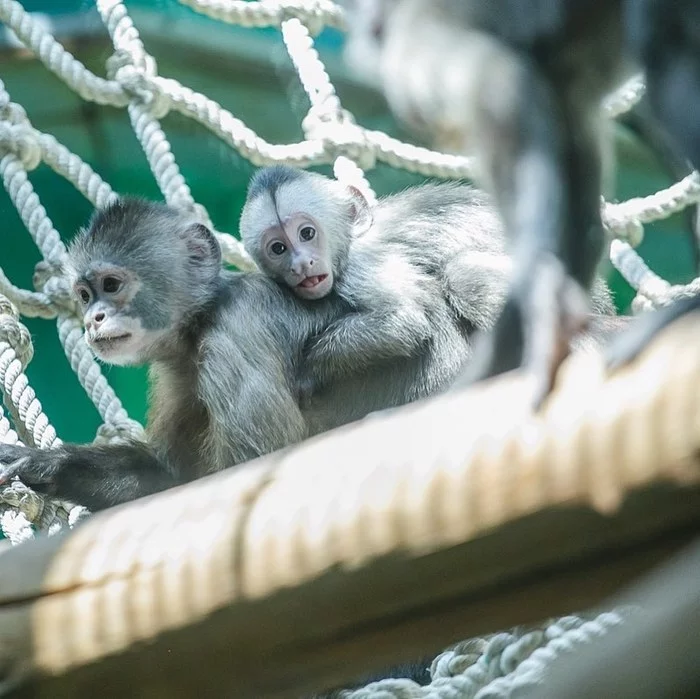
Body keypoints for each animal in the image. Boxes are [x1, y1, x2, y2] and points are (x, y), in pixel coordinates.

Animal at [239, 163, 624, 400]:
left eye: (307, 233)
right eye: (278, 248)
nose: (301, 264)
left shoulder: (363, 265)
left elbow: (402, 321)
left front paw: (308, 372)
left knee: (463, 275)